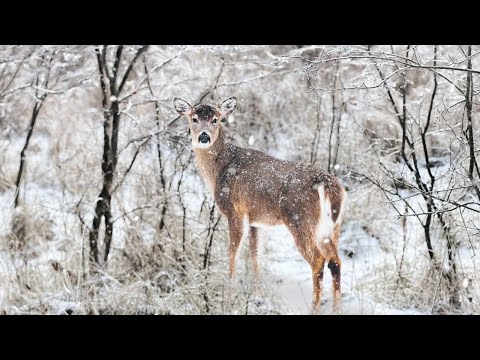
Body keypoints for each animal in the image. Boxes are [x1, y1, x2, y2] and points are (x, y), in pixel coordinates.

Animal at [174, 97, 346, 314]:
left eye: (215, 120)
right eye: (194, 119)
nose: (204, 137)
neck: (219, 169)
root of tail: (329, 185)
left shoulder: (234, 211)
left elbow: (233, 254)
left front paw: (228, 299)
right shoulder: (256, 219)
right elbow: (255, 254)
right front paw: (258, 298)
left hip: (301, 220)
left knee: (318, 261)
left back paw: (313, 308)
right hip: (332, 227)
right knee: (335, 261)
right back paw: (336, 309)